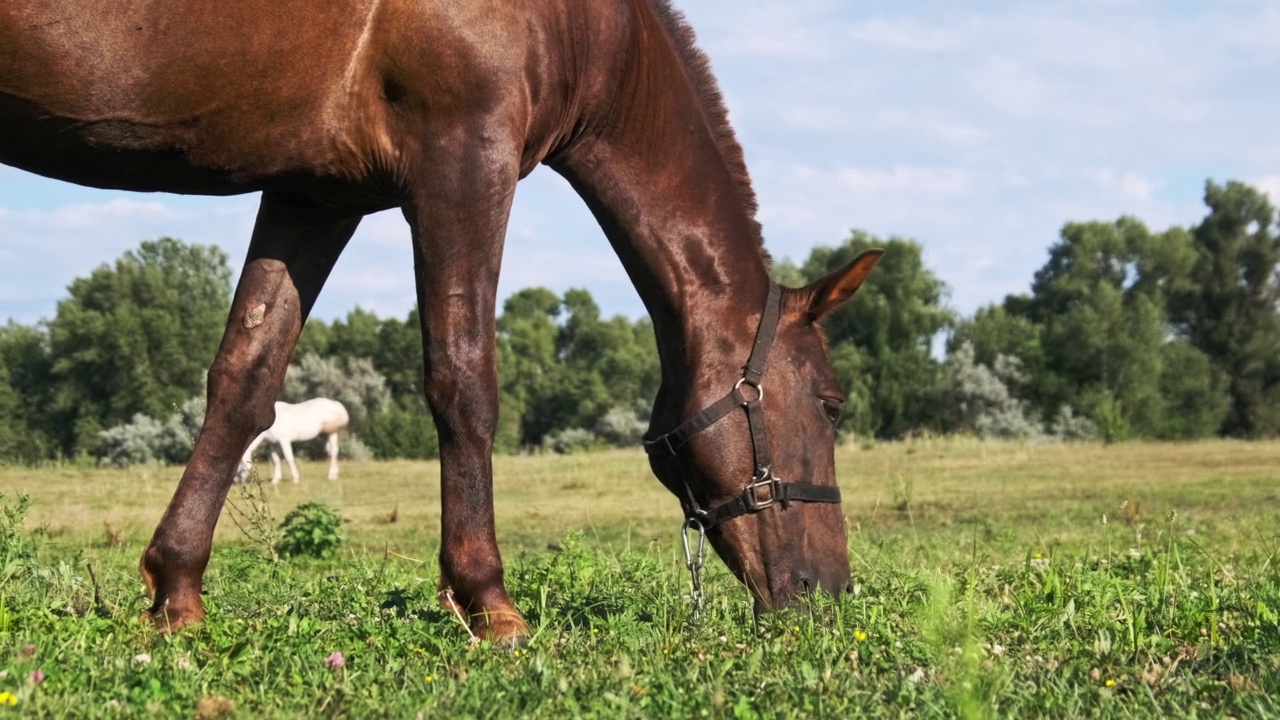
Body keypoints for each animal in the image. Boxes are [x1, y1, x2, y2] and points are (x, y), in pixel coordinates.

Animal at [0, 0, 880, 638]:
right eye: (832, 403)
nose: (832, 594)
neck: (585, 24)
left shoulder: (314, 194)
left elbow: (246, 377)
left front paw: (177, 591)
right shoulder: (464, 160)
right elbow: (464, 381)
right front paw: (488, 600)